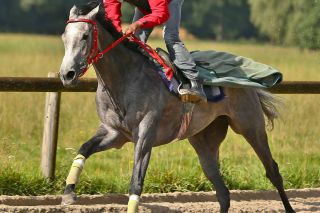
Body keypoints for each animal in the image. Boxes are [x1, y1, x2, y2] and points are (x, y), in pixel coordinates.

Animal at [58, 2, 296, 213]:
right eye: (64, 37)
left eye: (85, 36)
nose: (67, 74)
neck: (124, 79)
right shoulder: (114, 133)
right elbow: (83, 149)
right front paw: (69, 193)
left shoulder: (145, 135)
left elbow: (136, 182)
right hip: (204, 139)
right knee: (222, 191)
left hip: (250, 126)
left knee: (272, 171)